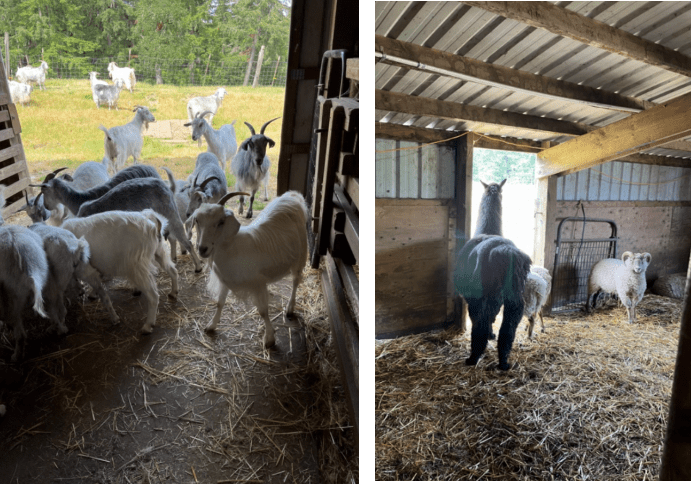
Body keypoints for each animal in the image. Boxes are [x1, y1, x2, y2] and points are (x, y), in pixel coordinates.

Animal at [188, 190, 308, 348]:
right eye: (197, 220)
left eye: (221, 222)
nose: (202, 249)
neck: (232, 248)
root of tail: (293, 196)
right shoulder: (225, 280)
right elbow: (220, 303)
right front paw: (211, 325)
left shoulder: (257, 284)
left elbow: (263, 311)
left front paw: (269, 338)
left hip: (300, 258)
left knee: (295, 282)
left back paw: (289, 308)